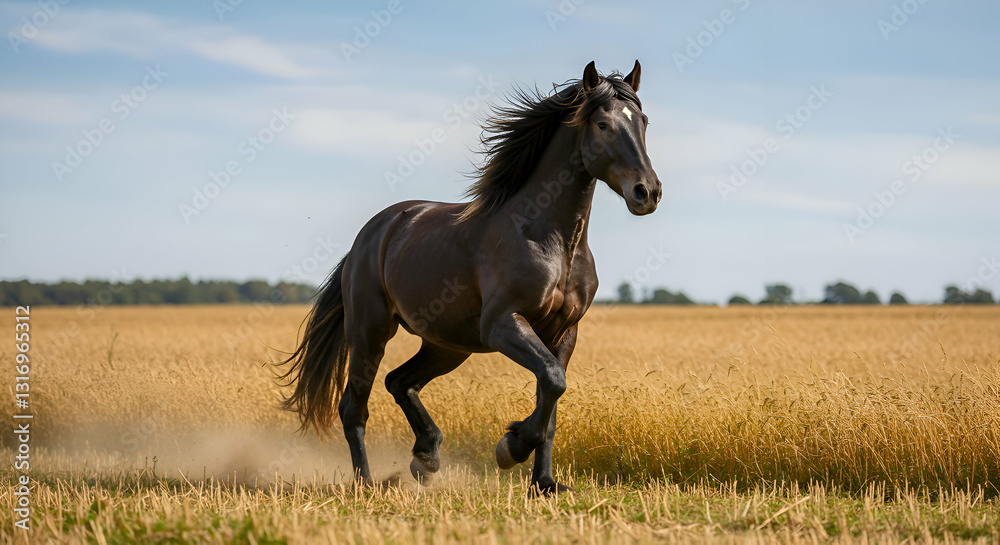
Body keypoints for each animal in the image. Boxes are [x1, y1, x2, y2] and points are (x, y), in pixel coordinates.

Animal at [278, 60, 661, 495]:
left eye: (643, 121)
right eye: (603, 124)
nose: (647, 192)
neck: (550, 238)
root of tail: (371, 236)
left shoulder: (564, 333)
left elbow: (552, 398)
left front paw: (545, 483)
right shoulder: (502, 325)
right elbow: (552, 381)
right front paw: (510, 447)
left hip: (447, 345)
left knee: (399, 382)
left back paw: (426, 457)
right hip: (370, 332)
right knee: (353, 407)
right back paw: (368, 483)